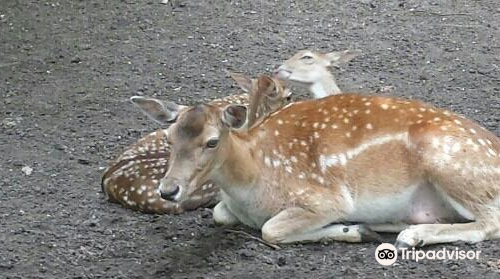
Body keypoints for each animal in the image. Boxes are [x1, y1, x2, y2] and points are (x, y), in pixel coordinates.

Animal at [148, 75, 500, 249]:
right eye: (168, 137)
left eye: (212, 141)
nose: (167, 190)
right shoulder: (229, 207)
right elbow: (220, 214)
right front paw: (359, 229)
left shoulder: (326, 197)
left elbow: (270, 230)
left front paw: (353, 231)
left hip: (451, 164)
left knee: (490, 222)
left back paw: (411, 236)